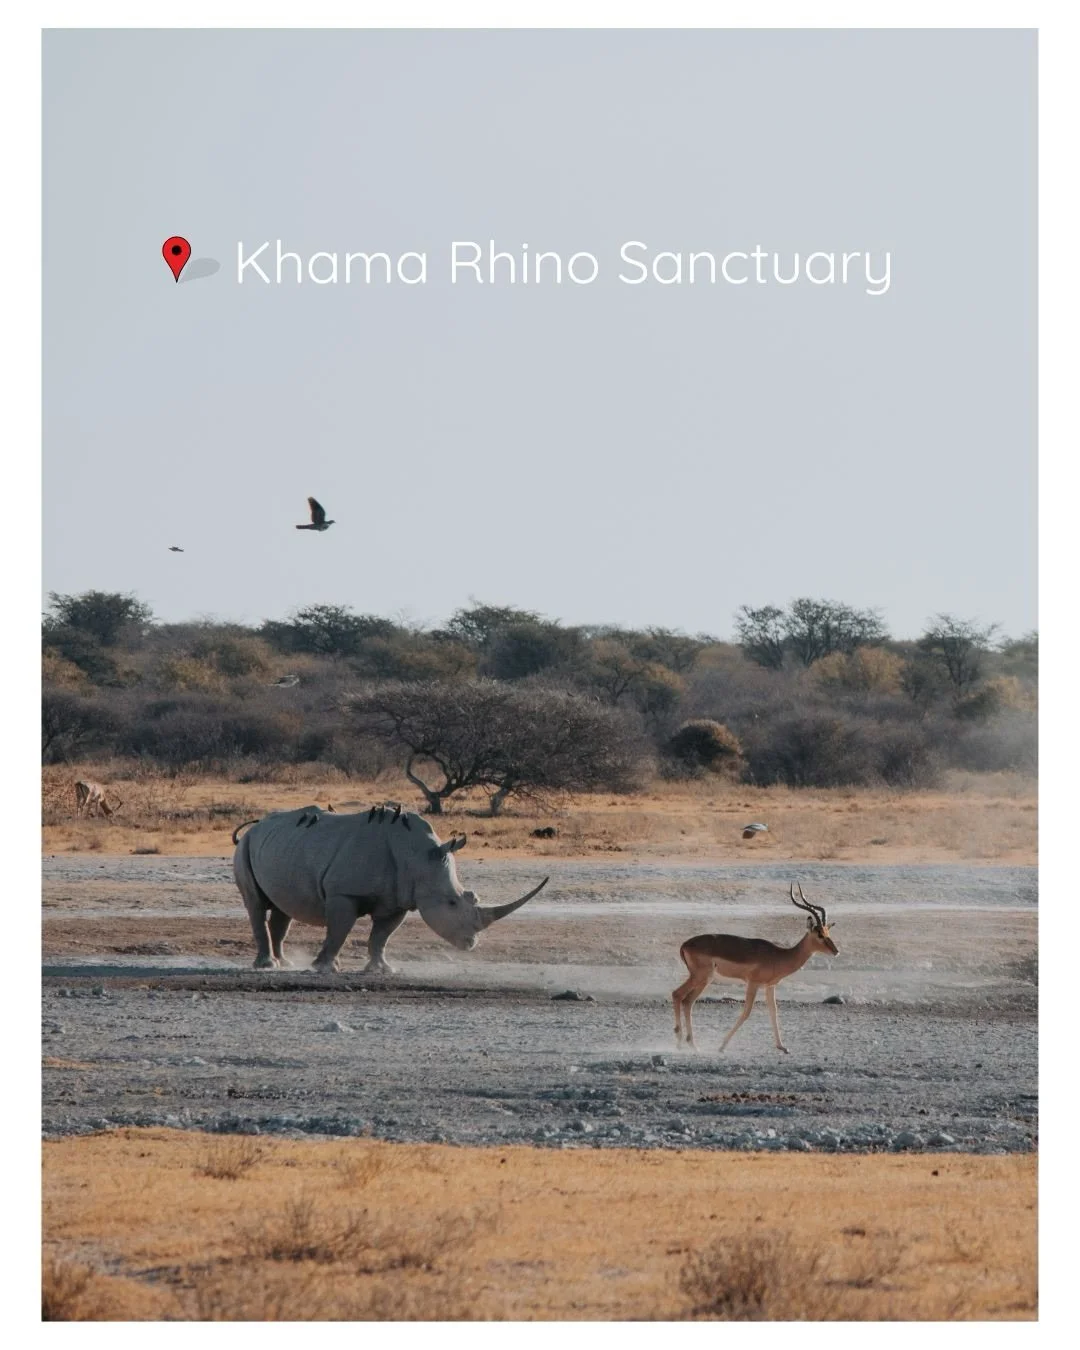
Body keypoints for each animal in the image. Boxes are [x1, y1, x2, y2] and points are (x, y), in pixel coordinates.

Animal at [231, 804, 548, 974]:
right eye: (452, 903)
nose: (472, 944)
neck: (419, 857)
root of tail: (255, 827)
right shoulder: (343, 893)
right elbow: (339, 931)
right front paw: (325, 968)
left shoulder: (399, 899)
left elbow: (381, 936)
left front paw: (382, 970)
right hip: (246, 846)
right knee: (256, 904)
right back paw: (268, 966)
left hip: (282, 847)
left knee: (282, 908)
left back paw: (283, 962)